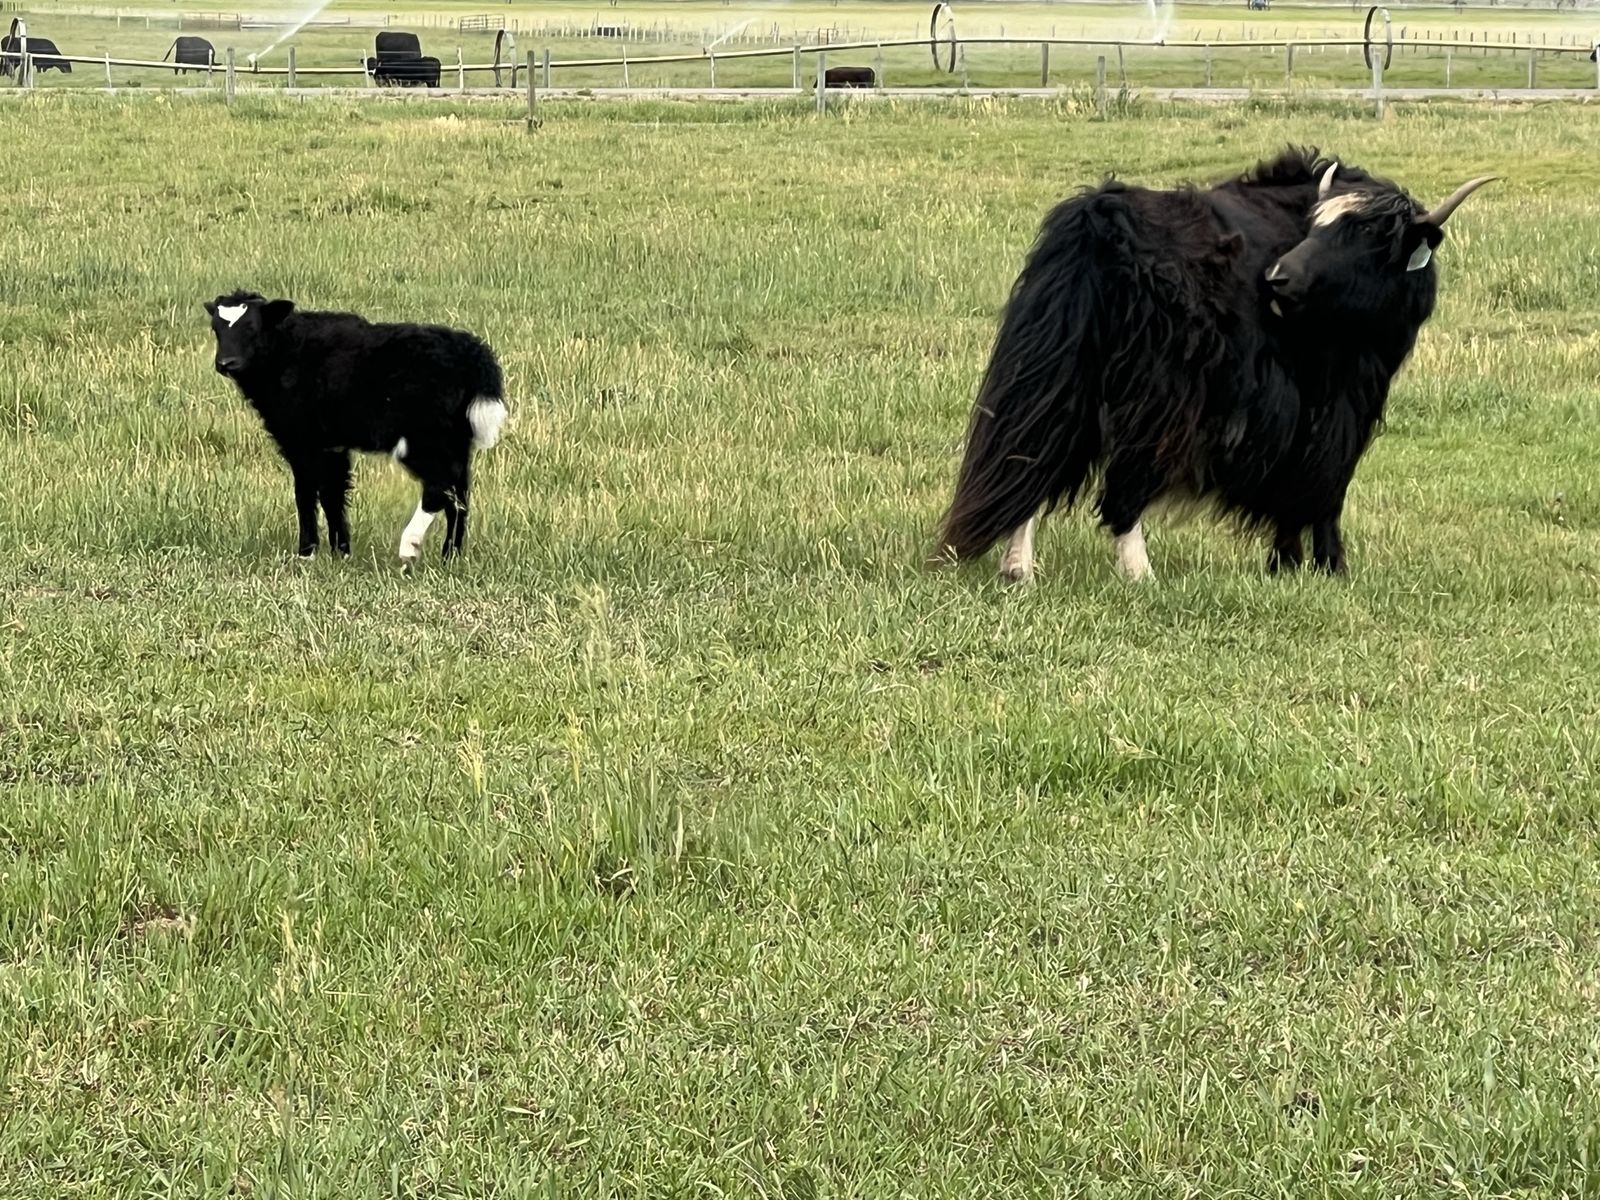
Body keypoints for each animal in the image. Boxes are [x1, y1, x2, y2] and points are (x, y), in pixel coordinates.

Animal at [203, 291, 509, 565]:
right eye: (216, 329)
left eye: (252, 328)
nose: (225, 363)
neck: (286, 352)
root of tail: (471, 354)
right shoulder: (332, 445)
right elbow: (332, 493)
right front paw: (341, 552)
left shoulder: (302, 439)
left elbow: (305, 493)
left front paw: (307, 553)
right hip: (455, 437)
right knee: (460, 494)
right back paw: (451, 556)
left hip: (423, 437)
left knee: (439, 487)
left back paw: (409, 546)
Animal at [934, 147, 1495, 582]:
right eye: (1321, 226)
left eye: (1374, 236)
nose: (1277, 278)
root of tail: (1100, 219)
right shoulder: (1339, 399)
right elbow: (1325, 479)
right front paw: (1321, 564)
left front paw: (1288, 564)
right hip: (1156, 396)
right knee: (1121, 486)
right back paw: (1140, 575)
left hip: (1062, 373)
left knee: (1031, 457)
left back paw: (1018, 570)